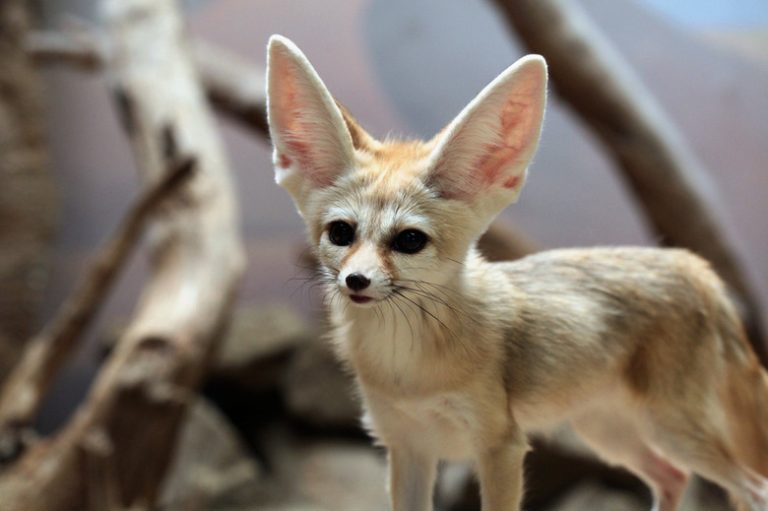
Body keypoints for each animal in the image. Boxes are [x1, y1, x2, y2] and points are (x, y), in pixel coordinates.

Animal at [266, 34, 768, 510]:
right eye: (341, 232)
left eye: (409, 240)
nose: (356, 281)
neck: (407, 369)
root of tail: (695, 264)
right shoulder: (407, 447)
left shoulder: (500, 446)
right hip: (608, 433)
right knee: (673, 478)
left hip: (672, 431)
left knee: (753, 489)